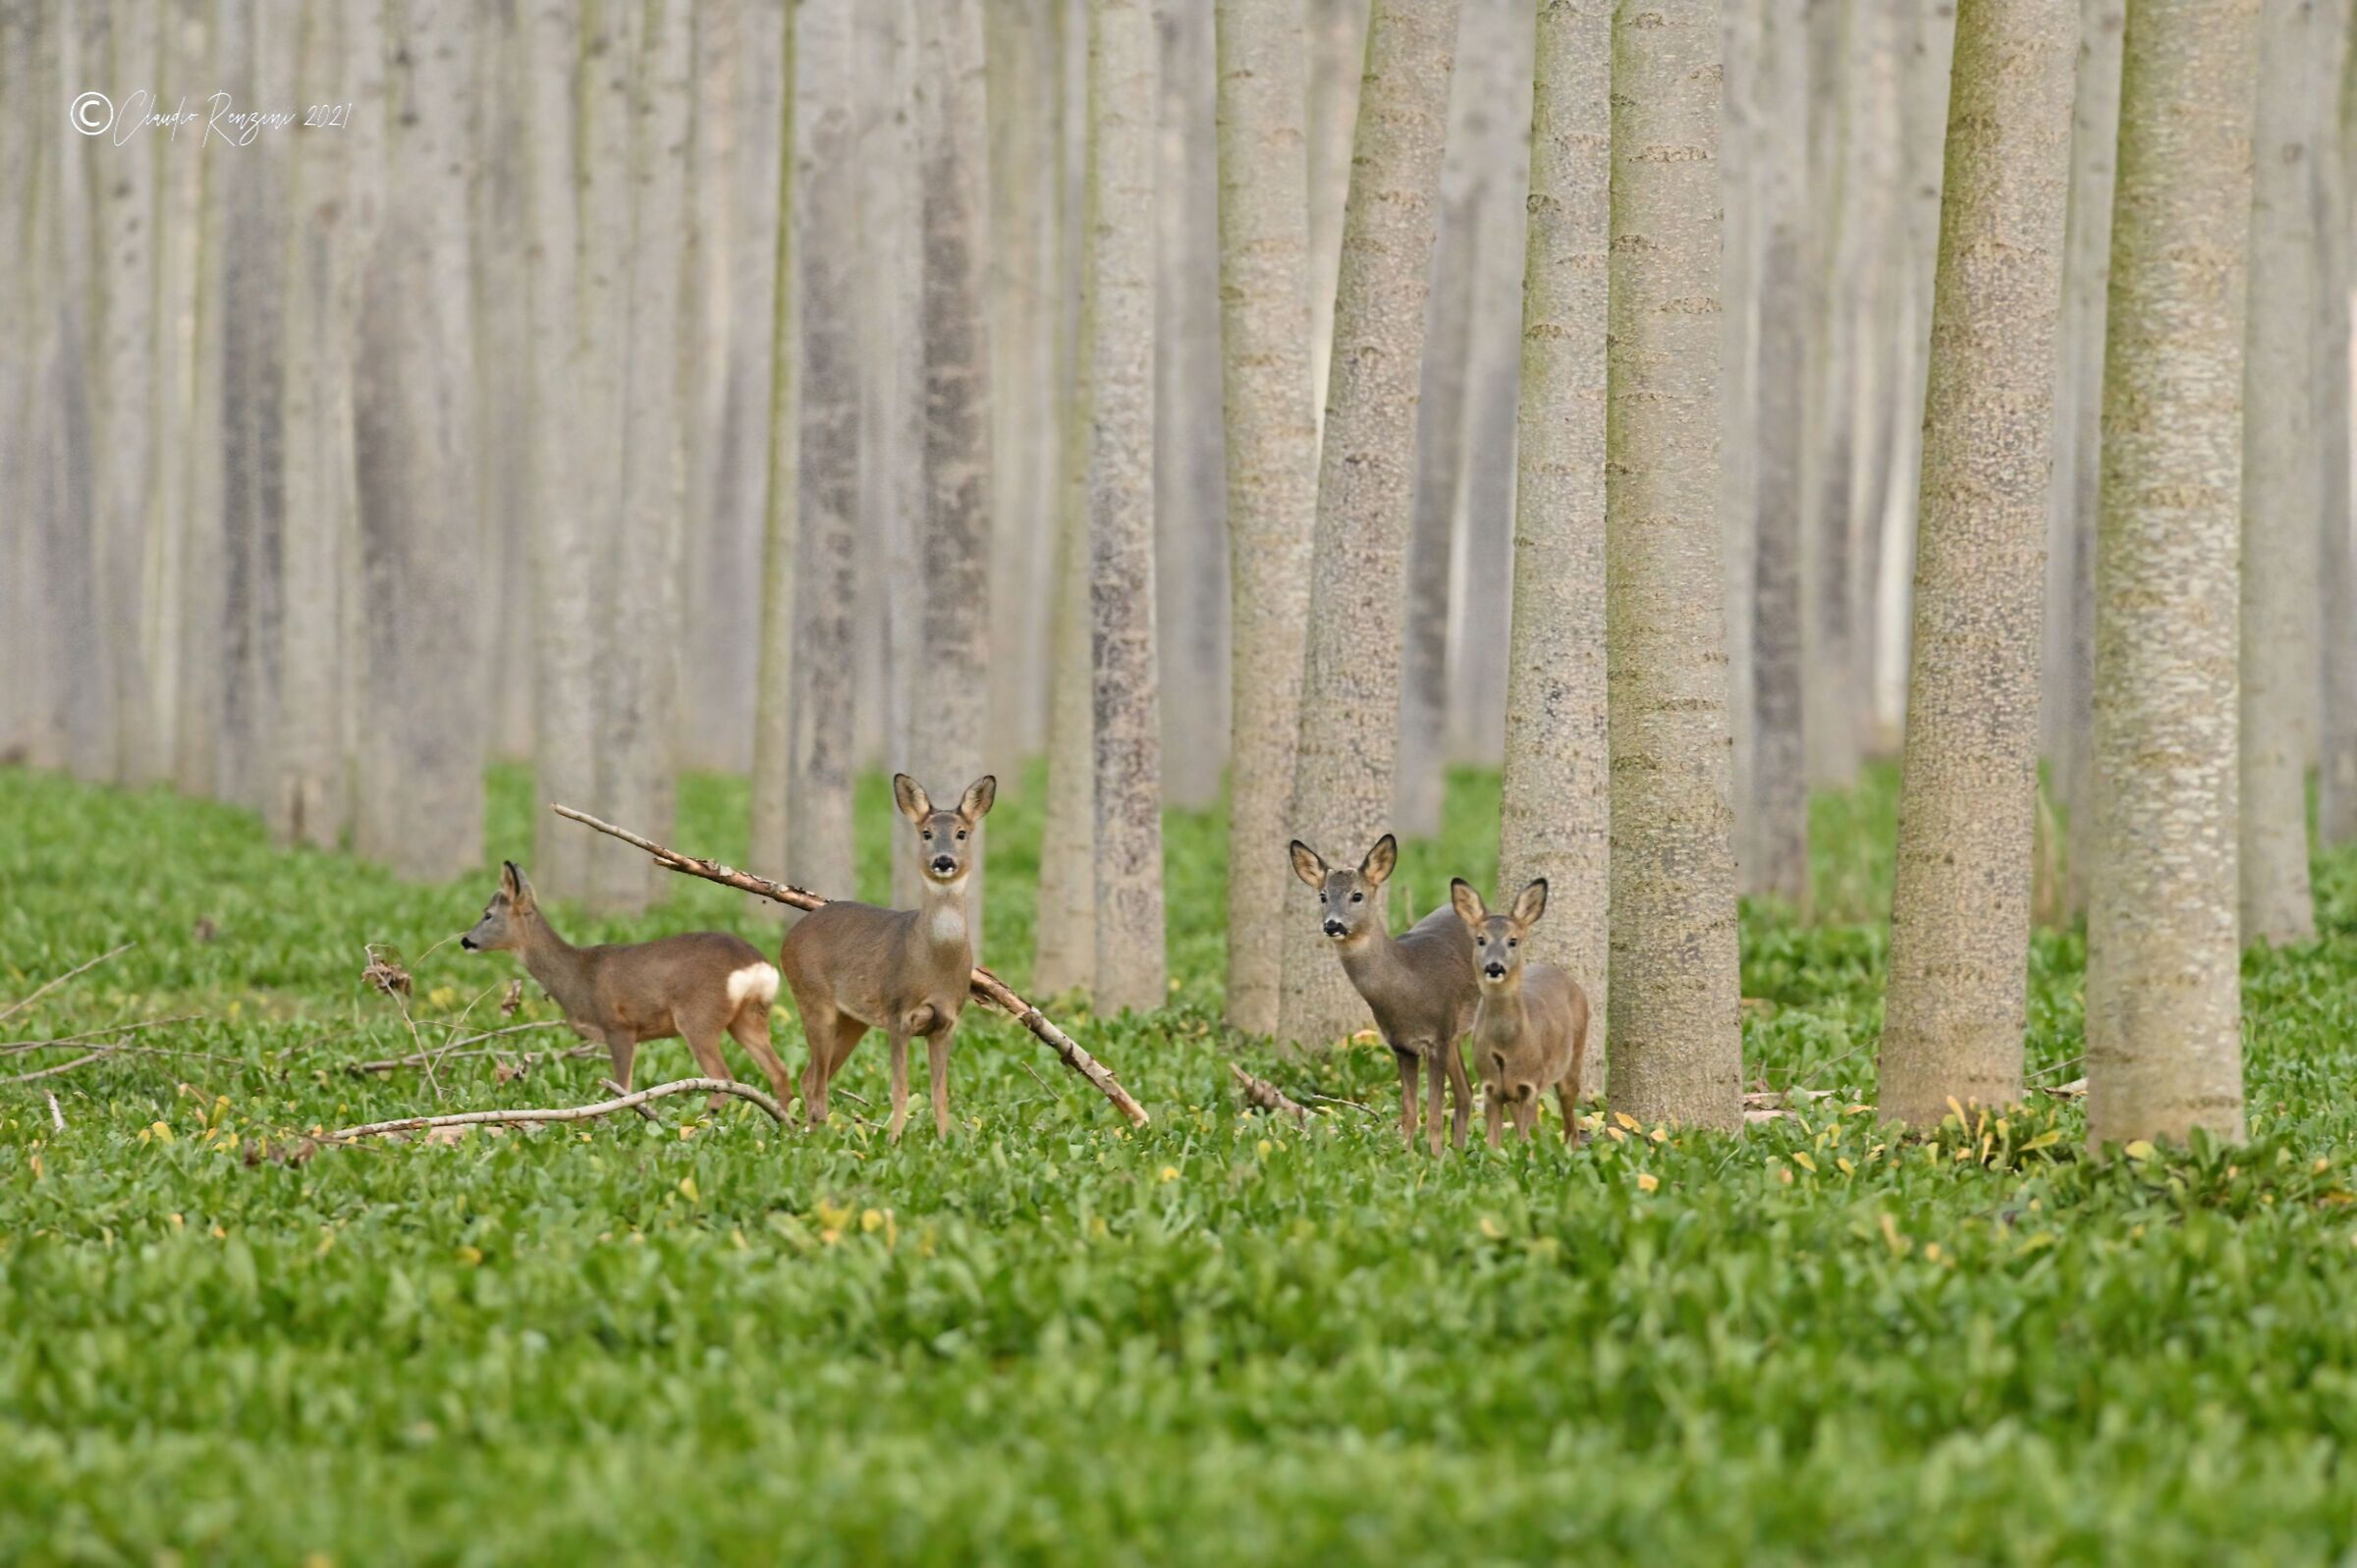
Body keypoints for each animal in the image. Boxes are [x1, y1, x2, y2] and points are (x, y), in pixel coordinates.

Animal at [459, 861, 795, 1108]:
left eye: (487, 915)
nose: (465, 940)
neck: (577, 976)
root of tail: (756, 966)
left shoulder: (618, 1026)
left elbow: (623, 1086)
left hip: (699, 1017)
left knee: (723, 1077)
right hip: (748, 1017)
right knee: (778, 1070)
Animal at [782, 773, 995, 1141]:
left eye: (961, 832)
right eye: (926, 833)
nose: (943, 861)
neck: (933, 961)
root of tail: (788, 938)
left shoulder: (947, 1021)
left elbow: (940, 1093)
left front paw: (944, 1142)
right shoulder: (898, 1014)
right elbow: (900, 1088)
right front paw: (894, 1141)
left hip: (854, 1019)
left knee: (812, 1076)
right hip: (812, 998)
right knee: (815, 1079)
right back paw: (819, 1138)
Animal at [1288, 834, 1479, 1154]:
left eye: (1357, 895)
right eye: (1323, 896)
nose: (1332, 925)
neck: (1410, 983)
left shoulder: (1437, 1038)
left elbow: (1434, 1114)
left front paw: (1435, 1159)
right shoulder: (1402, 1045)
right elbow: (1410, 1113)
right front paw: (1407, 1155)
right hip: (1453, 1037)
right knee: (1464, 1094)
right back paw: (1461, 1151)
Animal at [1448, 877, 1590, 1149]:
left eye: (1513, 941)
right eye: (1480, 939)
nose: (1494, 967)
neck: (1507, 1045)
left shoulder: (1530, 1085)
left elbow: (1526, 1143)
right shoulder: (1491, 1086)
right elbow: (1493, 1145)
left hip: (1572, 1061)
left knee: (1571, 1125)